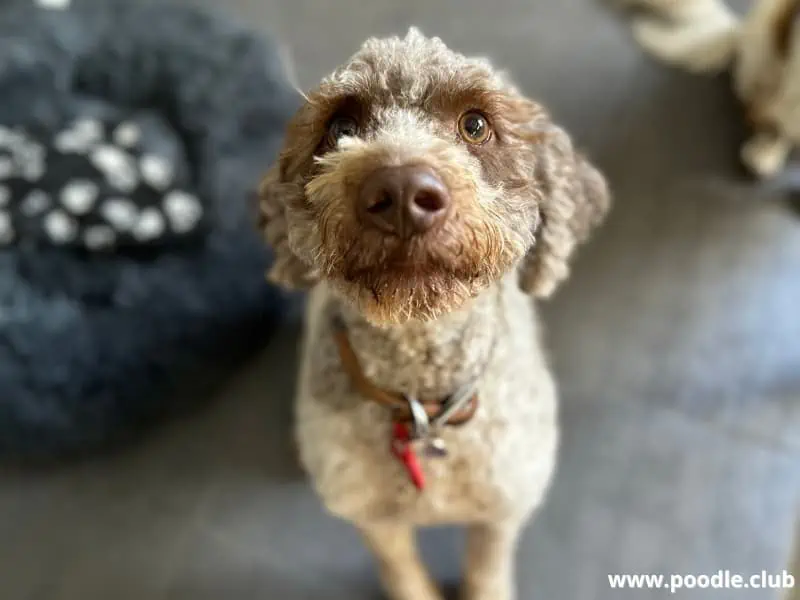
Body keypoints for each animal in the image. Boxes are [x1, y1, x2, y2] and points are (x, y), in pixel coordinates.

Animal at [260, 28, 608, 600]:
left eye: (476, 124)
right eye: (340, 127)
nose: (400, 191)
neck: (423, 400)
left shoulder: (503, 505)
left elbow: (487, 572)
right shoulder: (373, 516)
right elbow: (401, 572)